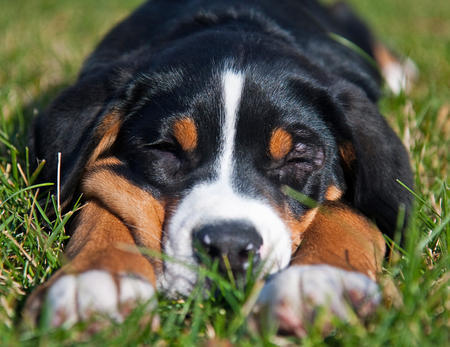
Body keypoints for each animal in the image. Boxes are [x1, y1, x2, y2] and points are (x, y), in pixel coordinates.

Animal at [27, 0, 412, 338]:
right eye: (166, 150)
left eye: (298, 159)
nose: (229, 247)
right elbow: (106, 197)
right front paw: (96, 280)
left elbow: (344, 212)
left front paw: (318, 281)